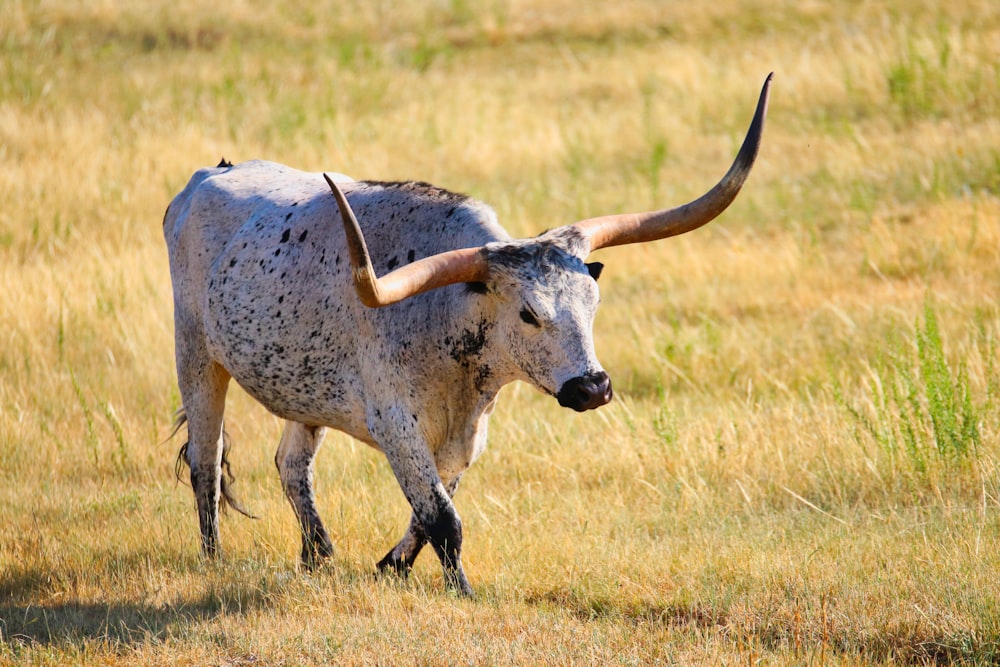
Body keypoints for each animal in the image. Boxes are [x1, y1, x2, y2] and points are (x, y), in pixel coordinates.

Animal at [166, 75, 772, 596]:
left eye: (593, 303)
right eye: (528, 314)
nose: (593, 388)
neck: (446, 316)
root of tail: (206, 176)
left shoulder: (466, 434)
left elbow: (429, 511)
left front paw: (390, 567)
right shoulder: (396, 424)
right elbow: (443, 518)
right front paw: (463, 592)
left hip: (303, 388)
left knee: (292, 466)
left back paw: (318, 555)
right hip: (195, 353)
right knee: (205, 459)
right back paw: (214, 556)